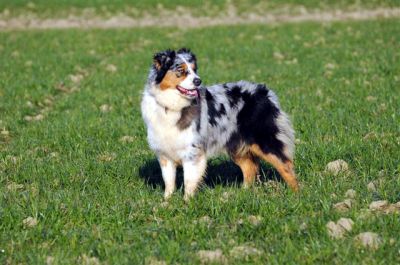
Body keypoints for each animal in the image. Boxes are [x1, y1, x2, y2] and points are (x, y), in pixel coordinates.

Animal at [140, 48, 296, 199]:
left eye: (194, 70)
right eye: (181, 70)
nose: (198, 81)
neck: (170, 106)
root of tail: (264, 92)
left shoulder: (192, 152)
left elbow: (189, 180)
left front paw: (187, 202)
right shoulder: (164, 154)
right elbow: (168, 182)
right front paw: (166, 202)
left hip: (265, 141)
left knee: (286, 166)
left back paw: (296, 194)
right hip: (236, 144)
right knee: (250, 167)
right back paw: (242, 193)